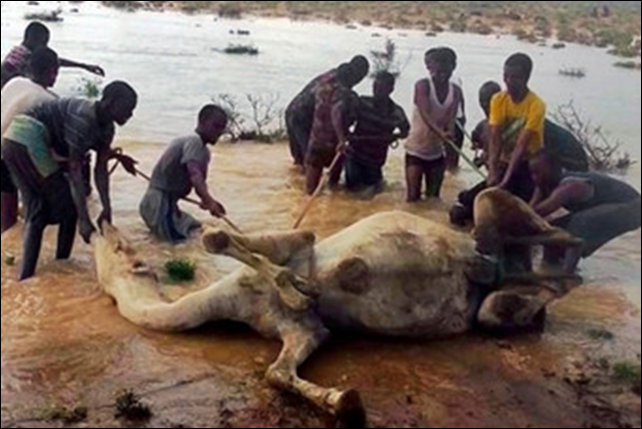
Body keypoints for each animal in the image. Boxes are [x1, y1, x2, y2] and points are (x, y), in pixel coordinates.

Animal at [93, 189, 583, 426]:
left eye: (118, 247)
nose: (100, 222)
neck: (236, 299)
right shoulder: (303, 332)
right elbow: (278, 373)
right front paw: (345, 402)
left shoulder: (296, 242)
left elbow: (221, 239)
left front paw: (300, 284)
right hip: (495, 307)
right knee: (522, 294)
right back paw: (536, 278)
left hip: (492, 210)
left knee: (545, 231)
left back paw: (563, 244)